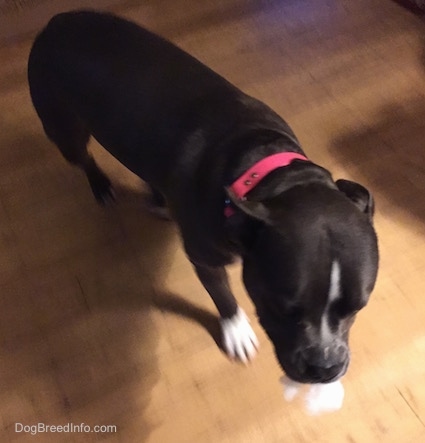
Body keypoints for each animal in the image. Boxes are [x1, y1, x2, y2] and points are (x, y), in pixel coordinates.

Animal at [27, 10, 378, 386]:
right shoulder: (204, 258)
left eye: (359, 306)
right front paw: (236, 330)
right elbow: (222, 295)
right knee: (82, 156)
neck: (261, 169)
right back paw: (101, 185)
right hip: (63, 127)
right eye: (282, 308)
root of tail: (56, 22)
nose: (325, 368)